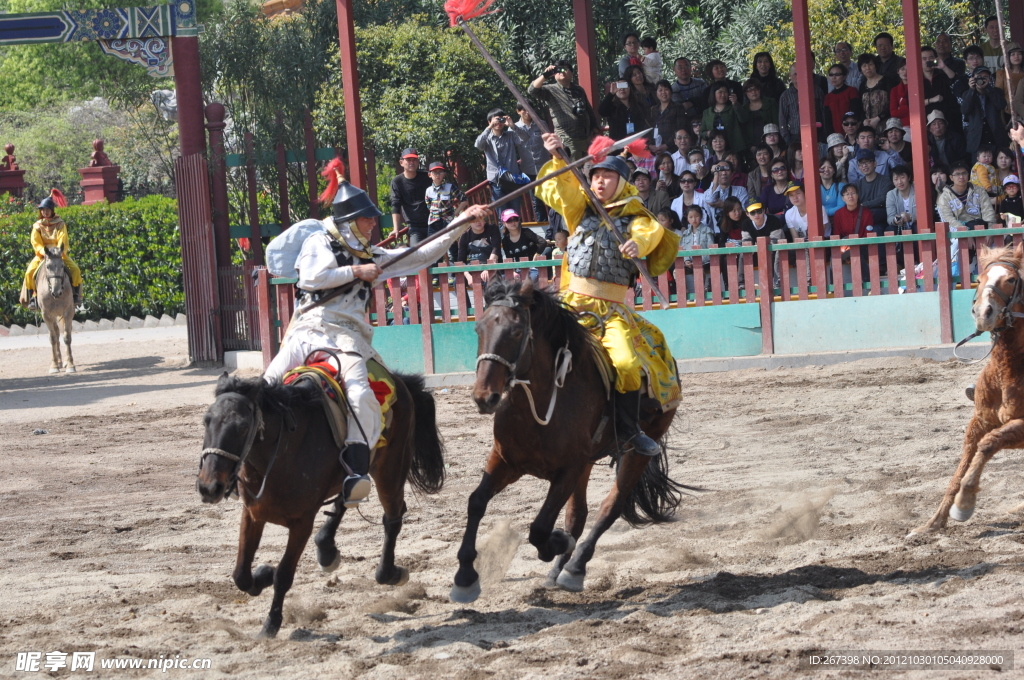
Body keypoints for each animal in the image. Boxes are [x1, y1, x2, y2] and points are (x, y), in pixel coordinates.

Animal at [195, 372, 444, 639]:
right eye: (206, 421)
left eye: (242, 427)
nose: (209, 487)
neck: (280, 454)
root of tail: (399, 380)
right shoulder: (253, 514)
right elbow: (241, 574)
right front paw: (263, 575)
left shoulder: (302, 523)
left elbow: (284, 575)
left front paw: (271, 622)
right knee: (346, 497)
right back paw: (326, 547)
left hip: (391, 472)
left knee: (392, 517)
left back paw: (389, 573)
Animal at [448, 278, 688, 602]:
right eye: (479, 329)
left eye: (517, 331)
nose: (485, 397)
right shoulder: (504, 461)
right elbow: (476, 502)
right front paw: (465, 577)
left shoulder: (568, 470)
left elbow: (539, 528)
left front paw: (557, 542)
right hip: (586, 464)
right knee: (579, 514)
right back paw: (556, 572)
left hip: (638, 451)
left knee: (610, 507)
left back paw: (575, 567)